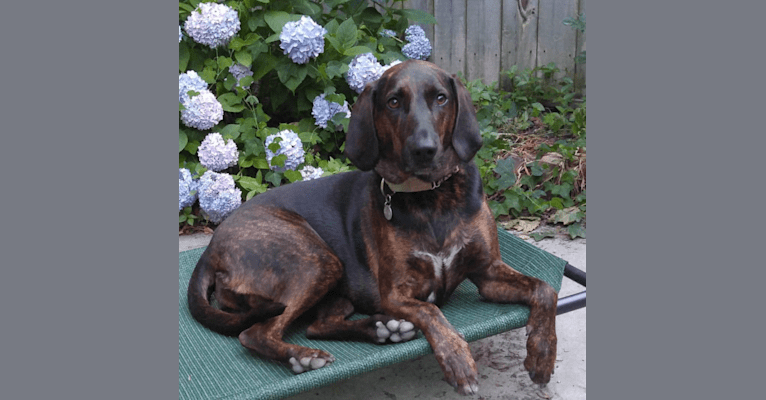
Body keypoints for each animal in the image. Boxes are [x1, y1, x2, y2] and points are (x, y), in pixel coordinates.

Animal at [186, 58, 560, 394]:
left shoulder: (488, 273)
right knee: (256, 333)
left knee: (318, 325)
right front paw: (457, 358)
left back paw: (382, 330)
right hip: (315, 260)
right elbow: (432, 313)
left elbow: (546, 290)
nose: (424, 150)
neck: (431, 199)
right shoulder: (396, 293)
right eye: (394, 101)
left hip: (333, 285)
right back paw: (304, 356)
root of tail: (211, 248)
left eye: (441, 98)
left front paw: (542, 354)